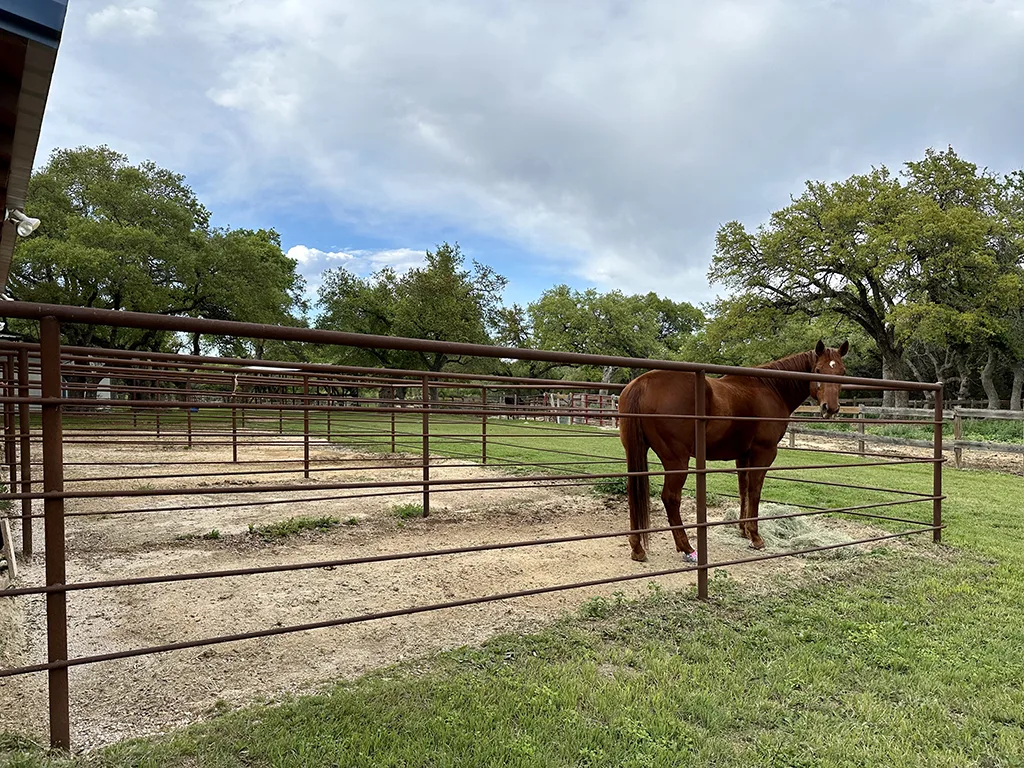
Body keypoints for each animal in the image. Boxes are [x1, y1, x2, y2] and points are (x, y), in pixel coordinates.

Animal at [617, 340, 849, 563]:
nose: (831, 408)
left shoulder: (743, 455)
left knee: (633, 491)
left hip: (636, 452)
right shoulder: (763, 452)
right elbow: (755, 491)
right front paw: (755, 536)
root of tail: (641, 384)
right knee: (670, 498)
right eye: (817, 370)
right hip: (677, 460)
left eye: (842, 371)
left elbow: (743, 490)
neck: (771, 389)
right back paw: (687, 547)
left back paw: (637, 548)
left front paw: (743, 530)